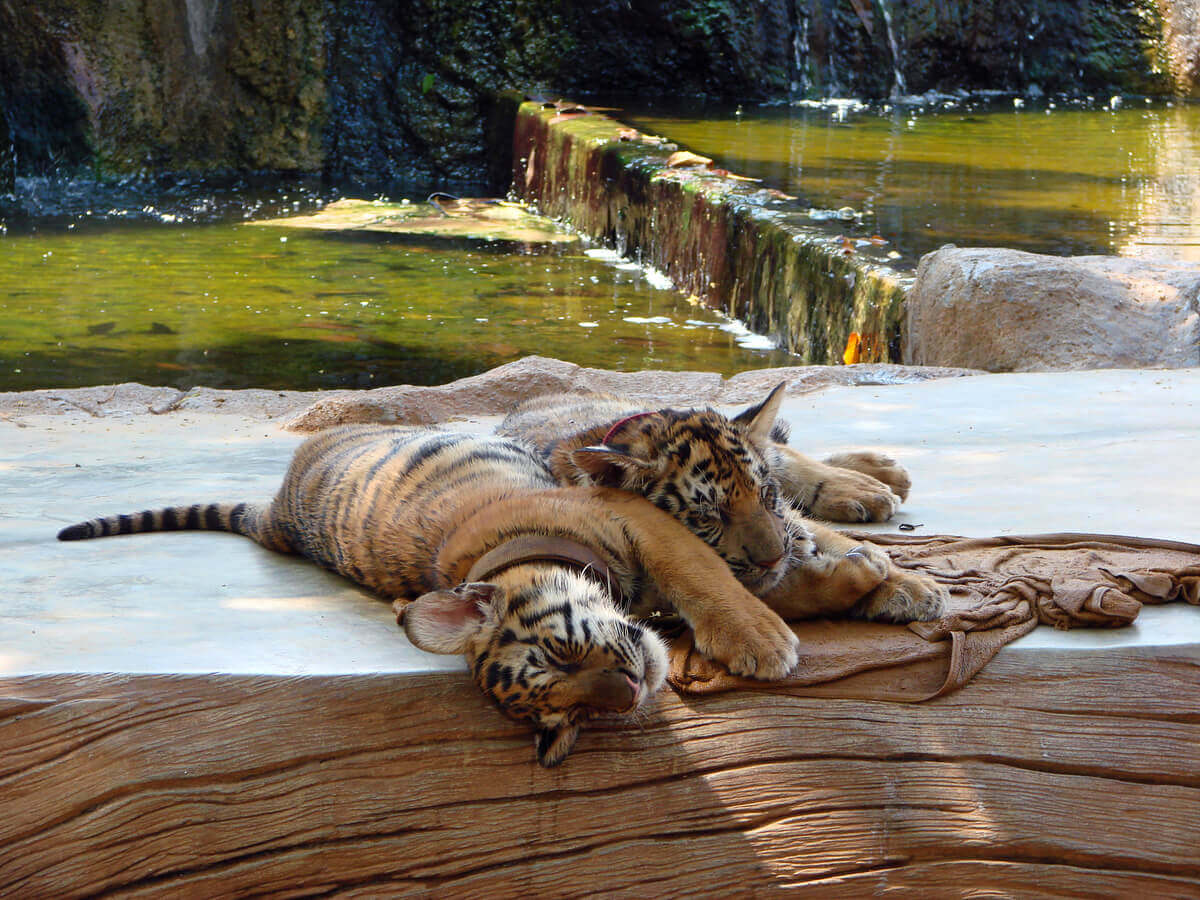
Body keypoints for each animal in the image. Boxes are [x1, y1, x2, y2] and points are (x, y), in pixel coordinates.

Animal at [57, 425, 814, 767]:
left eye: (565, 655)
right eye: (571, 717)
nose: (629, 692)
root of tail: (274, 511)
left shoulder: (636, 517)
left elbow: (704, 571)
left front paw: (761, 637)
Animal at [497, 383, 947, 624]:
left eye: (765, 496)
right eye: (707, 515)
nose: (774, 557)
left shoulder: (786, 517)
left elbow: (831, 537)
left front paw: (914, 585)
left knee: (783, 452)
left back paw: (874, 480)